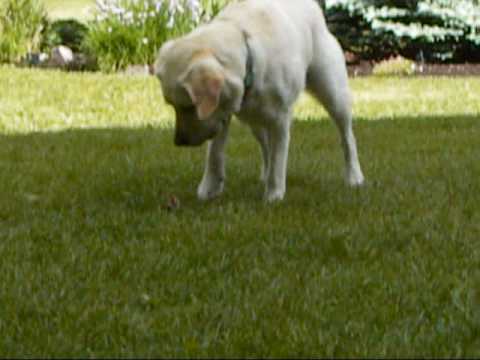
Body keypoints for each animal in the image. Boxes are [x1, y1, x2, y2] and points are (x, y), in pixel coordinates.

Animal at [156, 0, 366, 201]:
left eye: (189, 106)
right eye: (173, 106)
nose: (179, 141)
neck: (249, 55)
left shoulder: (280, 118)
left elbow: (278, 158)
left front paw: (273, 194)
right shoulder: (221, 113)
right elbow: (215, 154)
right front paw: (210, 188)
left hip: (333, 93)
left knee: (347, 138)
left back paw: (354, 177)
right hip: (253, 120)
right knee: (265, 146)